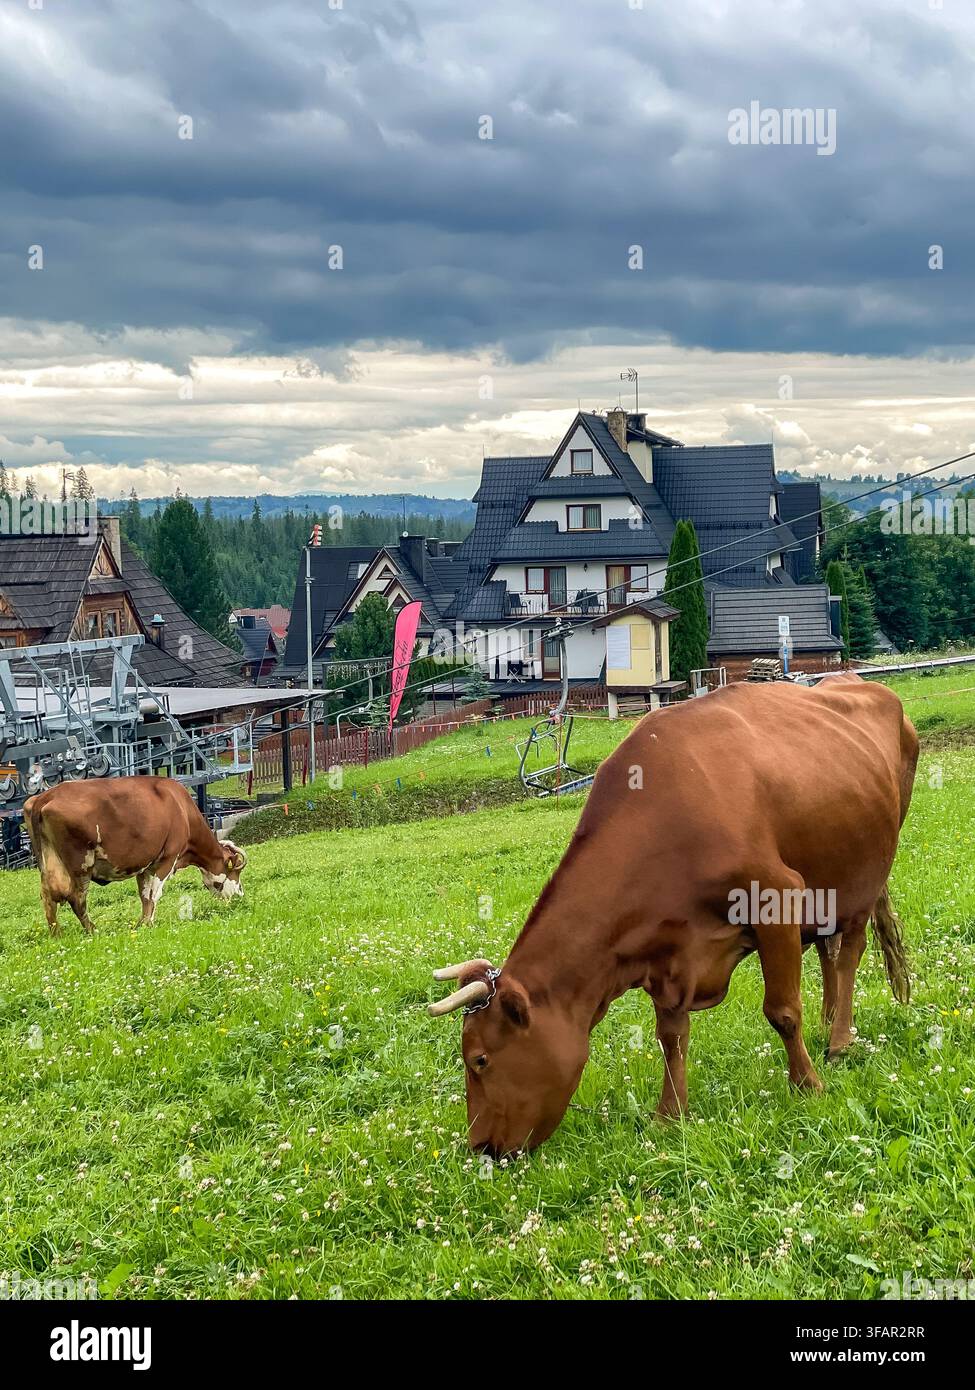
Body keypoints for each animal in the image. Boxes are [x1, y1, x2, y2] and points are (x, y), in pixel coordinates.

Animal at [23, 776, 247, 934]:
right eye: (235, 874)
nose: (240, 896)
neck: (182, 809)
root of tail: (45, 797)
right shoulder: (168, 859)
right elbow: (155, 893)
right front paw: (150, 922)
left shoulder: (145, 865)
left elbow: (144, 895)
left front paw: (142, 922)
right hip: (81, 863)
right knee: (76, 898)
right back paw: (92, 930)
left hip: (49, 861)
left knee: (48, 895)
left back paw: (56, 934)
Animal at [429, 674, 918, 1156]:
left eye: (480, 1059)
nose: (481, 1147)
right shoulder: (667, 950)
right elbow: (671, 1036)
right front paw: (669, 1116)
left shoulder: (778, 896)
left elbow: (781, 1010)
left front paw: (807, 1086)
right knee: (826, 947)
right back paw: (829, 1021)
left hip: (867, 874)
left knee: (849, 952)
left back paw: (839, 1040)